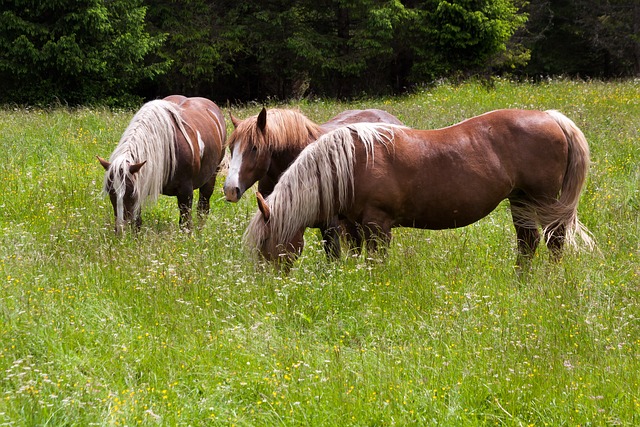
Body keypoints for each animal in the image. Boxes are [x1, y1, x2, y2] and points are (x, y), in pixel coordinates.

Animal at [95, 96, 225, 234]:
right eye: (110, 192)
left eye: (130, 193)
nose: (121, 230)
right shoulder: (141, 186)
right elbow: (137, 222)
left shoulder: (185, 192)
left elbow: (186, 224)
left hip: (211, 178)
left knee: (203, 209)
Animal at [244, 108, 596, 270]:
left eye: (264, 244)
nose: (267, 287)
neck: (351, 163)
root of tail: (550, 117)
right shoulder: (354, 227)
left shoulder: (377, 226)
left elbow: (376, 263)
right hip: (520, 200)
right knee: (528, 243)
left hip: (543, 200)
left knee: (554, 241)